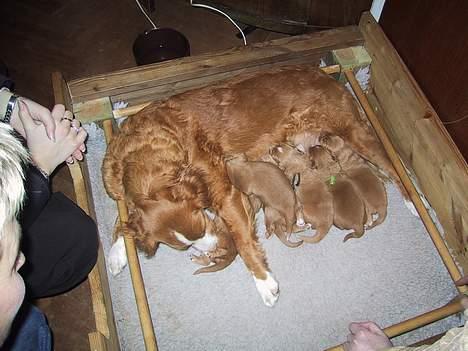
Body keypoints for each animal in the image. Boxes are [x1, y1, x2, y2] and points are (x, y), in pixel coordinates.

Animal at [102, 64, 394, 306]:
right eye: (183, 245)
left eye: (204, 222)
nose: (216, 248)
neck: (145, 150)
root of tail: (324, 73)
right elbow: (124, 217)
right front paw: (116, 253)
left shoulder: (225, 192)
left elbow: (243, 243)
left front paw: (264, 281)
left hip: (355, 132)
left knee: (394, 167)